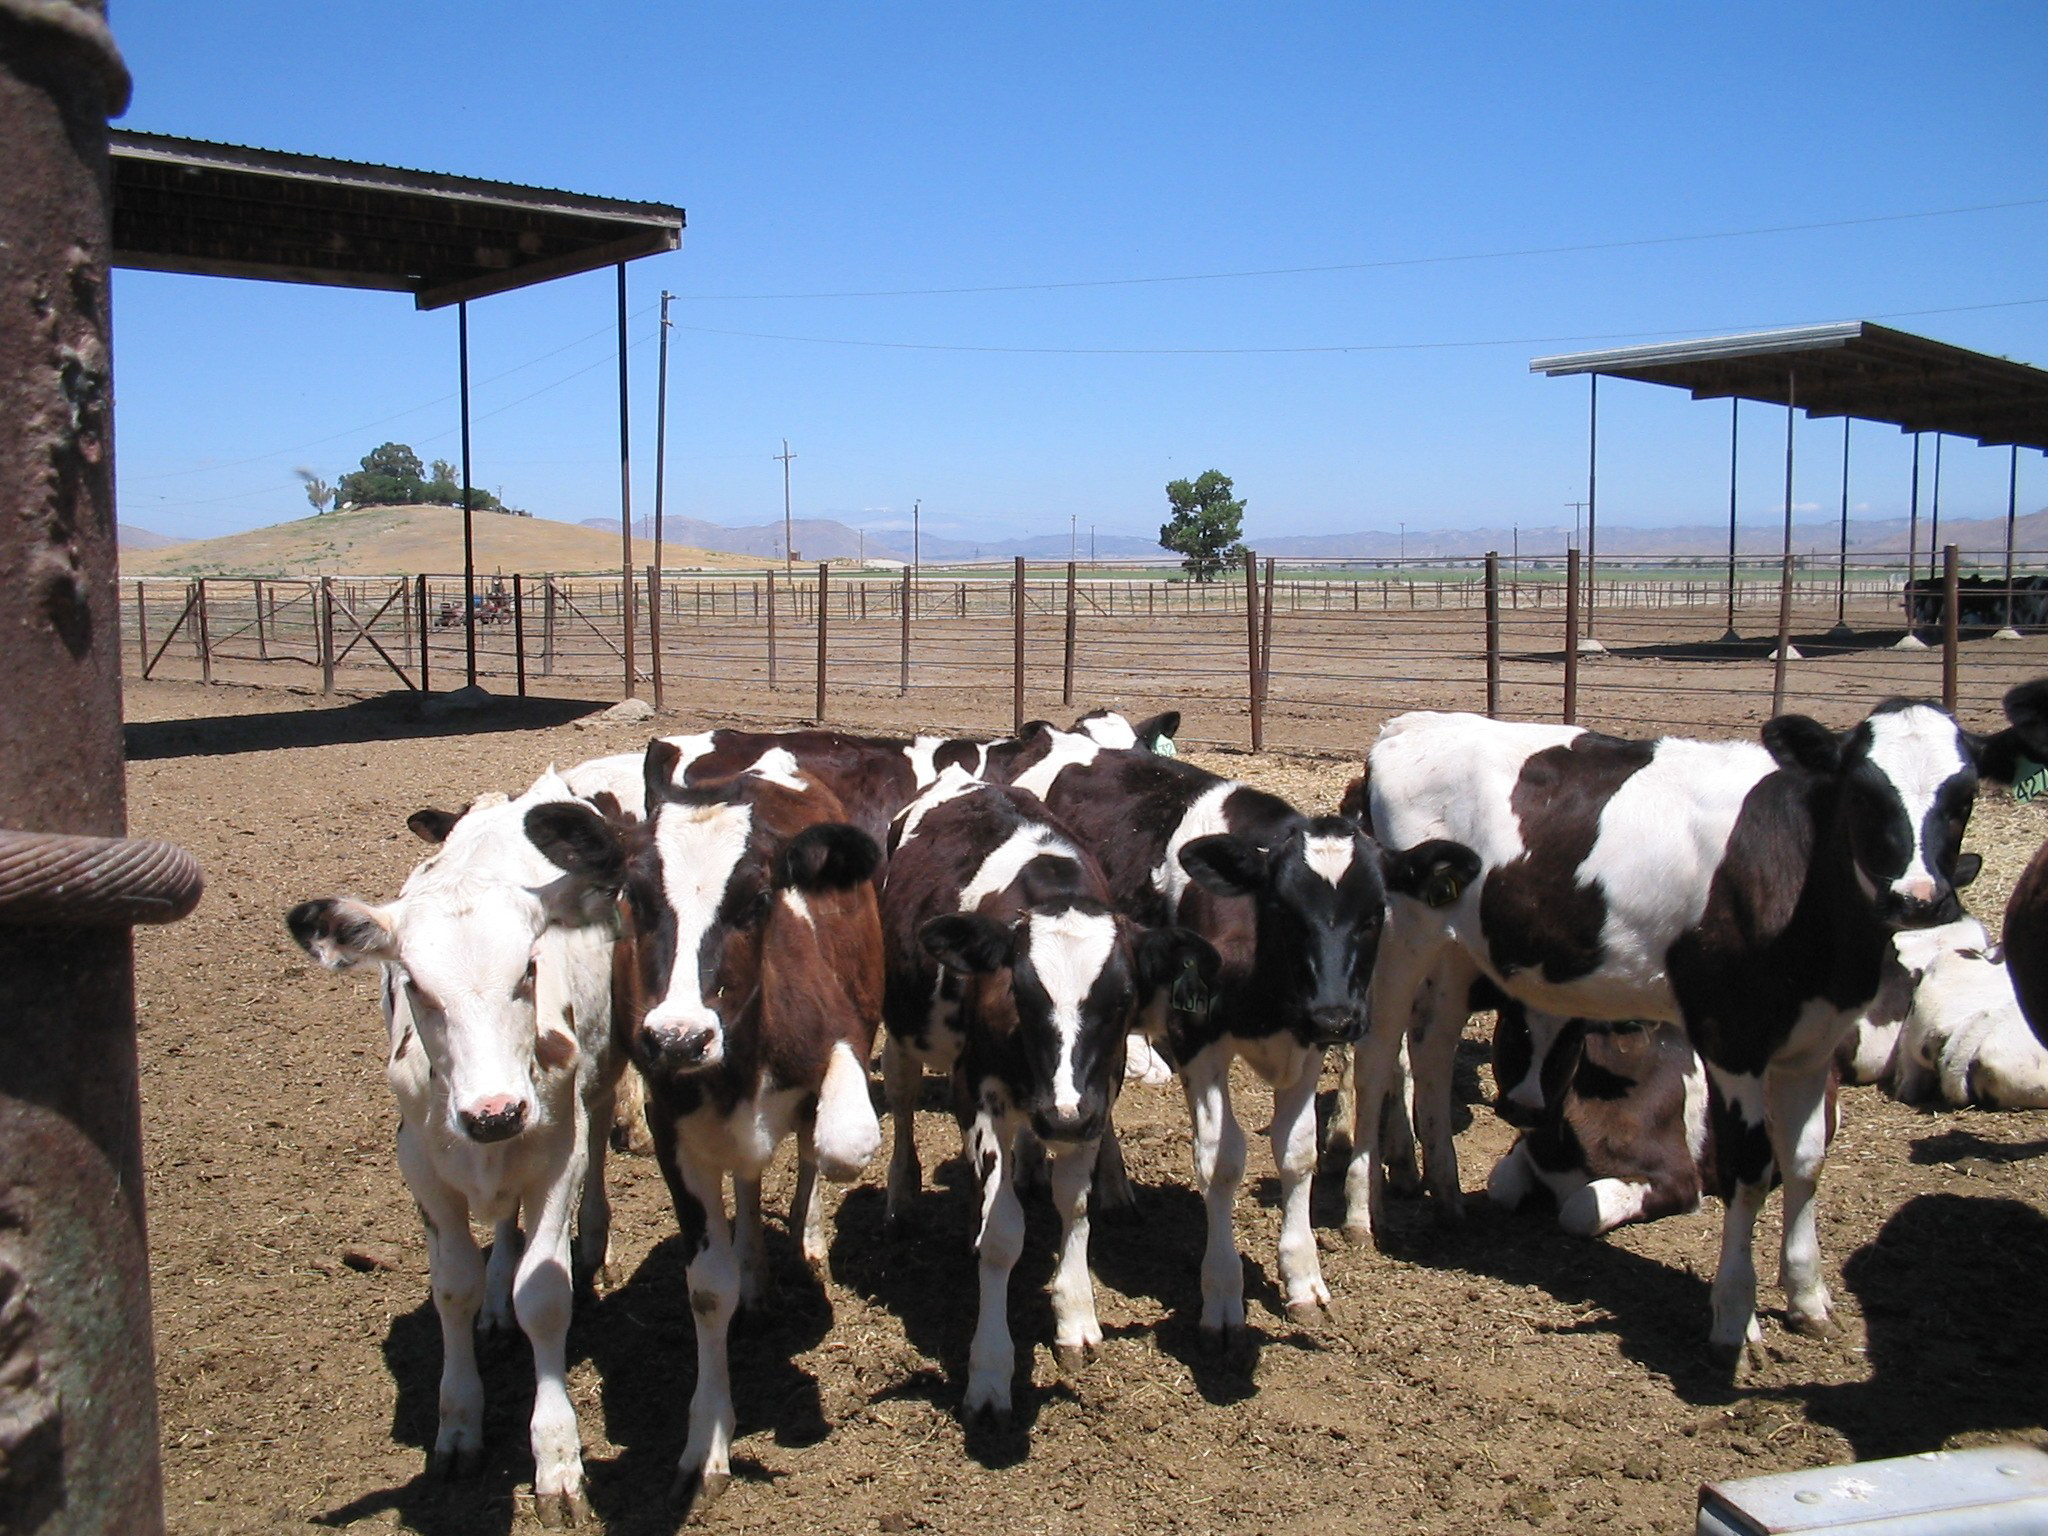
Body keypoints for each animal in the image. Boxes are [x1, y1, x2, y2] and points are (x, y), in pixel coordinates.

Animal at [286, 769, 624, 1527]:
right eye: (415, 984)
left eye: (528, 968)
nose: (495, 1112)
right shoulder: (421, 1163)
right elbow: (453, 1285)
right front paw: (459, 1422)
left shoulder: (558, 1151)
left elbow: (545, 1293)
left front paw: (557, 1458)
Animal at [522, 745, 884, 1518]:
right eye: (635, 899)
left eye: (757, 901)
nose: (680, 1036)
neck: (734, 1068)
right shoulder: (672, 1130)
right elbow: (708, 1287)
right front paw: (706, 1443)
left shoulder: (842, 1038)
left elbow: (838, 1144)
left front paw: (807, 1231)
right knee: (744, 1183)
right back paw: (755, 1271)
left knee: (805, 1153)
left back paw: (800, 1240)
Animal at [877, 772, 1216, 1422]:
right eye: (1022, 992)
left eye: (1122, 998)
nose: (1062, 1115)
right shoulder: (979, 1089)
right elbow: (1002, 1232)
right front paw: (989, 1369)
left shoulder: (1095, 1094)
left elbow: (1073, 1204)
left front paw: (1075, 1317)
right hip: (905, 1035)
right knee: (904, 1108)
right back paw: (903, 1198)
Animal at [1016, 741, 1476, 1340]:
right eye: (1283, 909)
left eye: (1376, 912)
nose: (1337, 1015)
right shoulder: (1196, 1039)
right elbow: (1221, 1159)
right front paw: (1222, 1293)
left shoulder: (1306, 1043)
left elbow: (1298, 1151)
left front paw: (1303, 1278)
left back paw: (1113, 1186)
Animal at [1345, 687, 2048, 1370]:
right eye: (1863, 793)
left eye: (1962, 797)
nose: (1917, 899)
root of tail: (1405, 728)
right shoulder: (1731, 1039)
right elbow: (1749, 1168)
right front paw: (1736, 1321)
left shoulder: (1813, 1043)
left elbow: (1805, 1159)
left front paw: (1808, 1298)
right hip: (1398, 940)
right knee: (1377, 1056)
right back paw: (1363, 1209)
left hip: (1457, 950)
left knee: (1432, 1046)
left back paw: (1447, 1196)